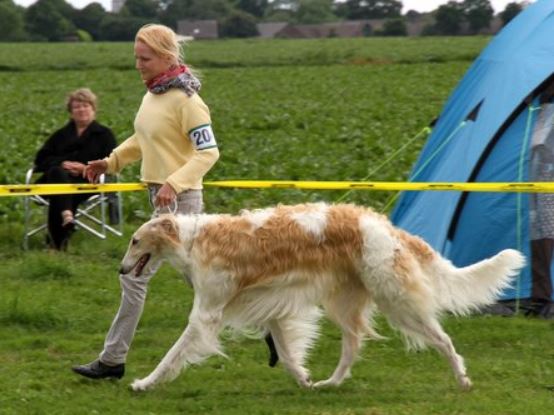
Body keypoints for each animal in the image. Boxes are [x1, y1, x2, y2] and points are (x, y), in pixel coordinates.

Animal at [120, 202, 525, 392]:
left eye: (135, 241)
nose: (121, 271)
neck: (193, 240)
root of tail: (387, 227)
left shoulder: (206, 313)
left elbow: (173, 355)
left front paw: (143, 383)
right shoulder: (272, 309)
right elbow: (286, 355)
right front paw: (303, 379)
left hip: (397, 301)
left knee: (443, 340)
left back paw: (462, 378)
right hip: (346, 303)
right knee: (353, 346)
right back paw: (330, 383)